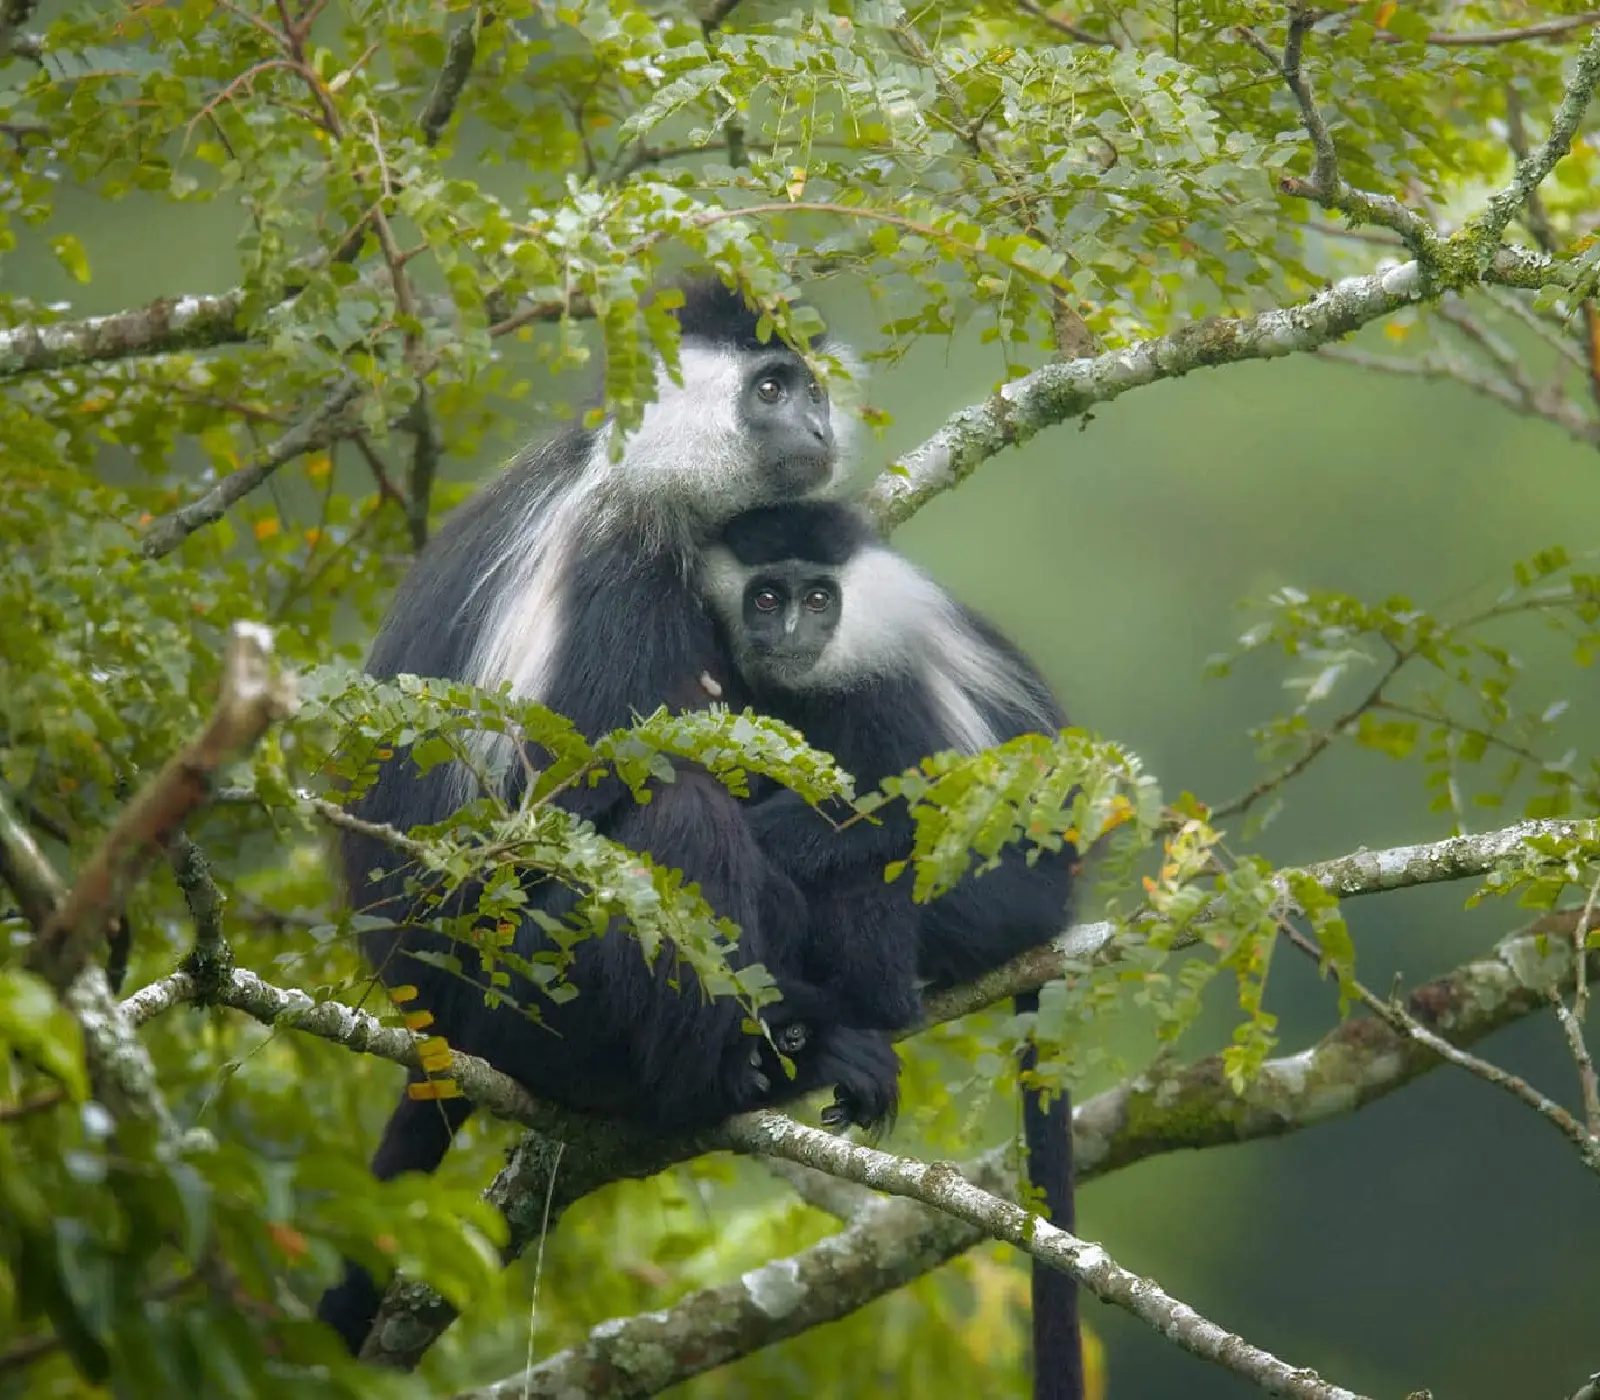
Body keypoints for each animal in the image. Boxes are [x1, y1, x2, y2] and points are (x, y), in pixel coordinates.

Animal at [316, 278, 900, 1356]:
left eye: (809, 387)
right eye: (770, 387)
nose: (816, 425)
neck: (642, 473)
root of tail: (425, 1007)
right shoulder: (616, 567)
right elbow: (583, 798)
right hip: (516, 990)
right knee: (677, 827)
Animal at [700, 498, 1085, 1400]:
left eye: (817, 598)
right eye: (764, 598)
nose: (788, 632)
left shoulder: (889, 686)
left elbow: (914, 808)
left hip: (998, 902)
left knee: (880, 871)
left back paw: (854, 1018)